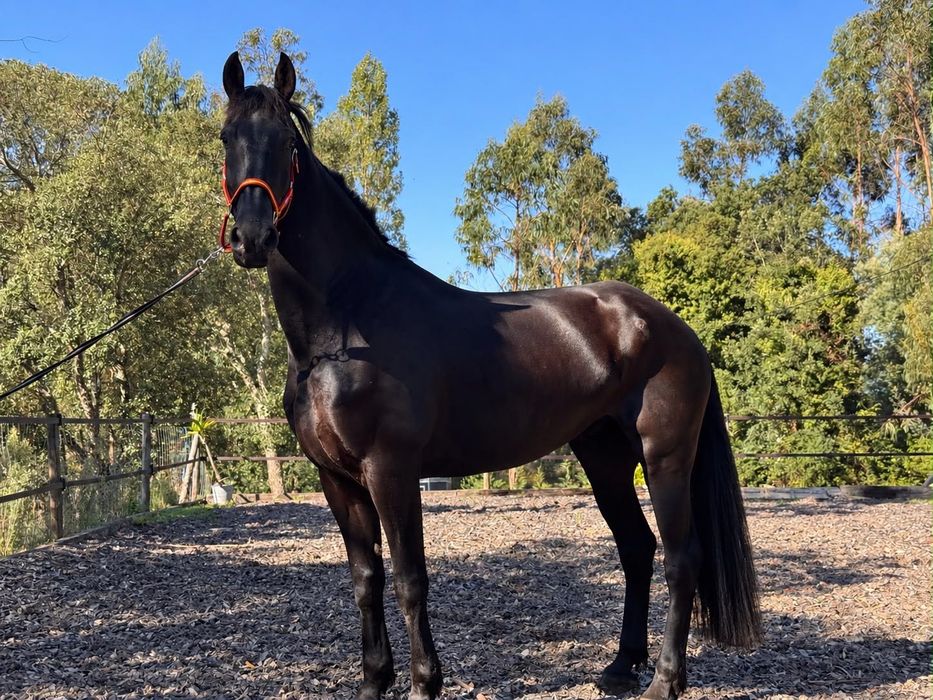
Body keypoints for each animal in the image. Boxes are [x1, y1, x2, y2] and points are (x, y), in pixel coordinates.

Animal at [218, 51, 760, 700]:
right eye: (226, 138)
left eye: (285, 143)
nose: (252, 237)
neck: (343, 331)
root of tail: (675, 328)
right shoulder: (337, 479)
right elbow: (365, 580)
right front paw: (375, 683)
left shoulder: (390, 469)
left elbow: (410, 579)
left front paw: (425, 684)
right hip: (604, 455)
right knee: (637, 547)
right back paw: (619, 667)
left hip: (665, 456)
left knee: (682, 558)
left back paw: (664, 681)